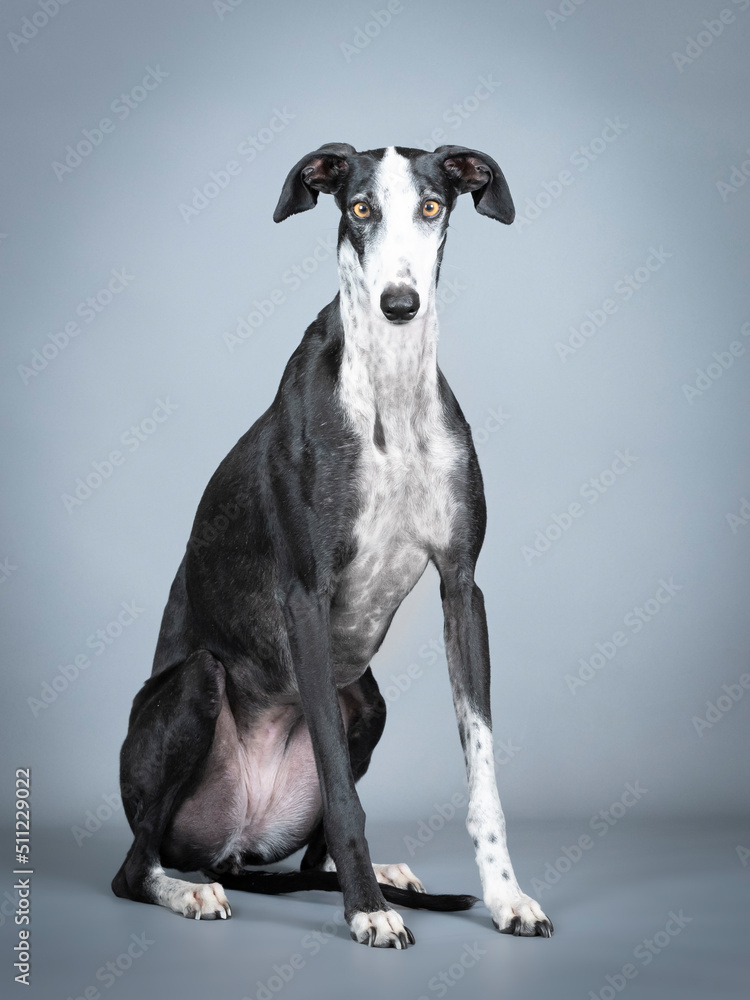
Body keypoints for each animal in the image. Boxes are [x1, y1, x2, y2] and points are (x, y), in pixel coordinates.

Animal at [114, 141, 556, 944]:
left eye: (432, 206)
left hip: (368, 703)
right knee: (134, 866)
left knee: (307, 854)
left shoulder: (462, 585)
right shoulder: (306, 600)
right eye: (359, 208)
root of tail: (233, 849)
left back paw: (381, 873)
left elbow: (482, 772)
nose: (399, 304)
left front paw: (507, 897)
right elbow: (343, 794)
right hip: (196, 686)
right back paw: (190, 892)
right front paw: (368, 914)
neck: (390, 392)